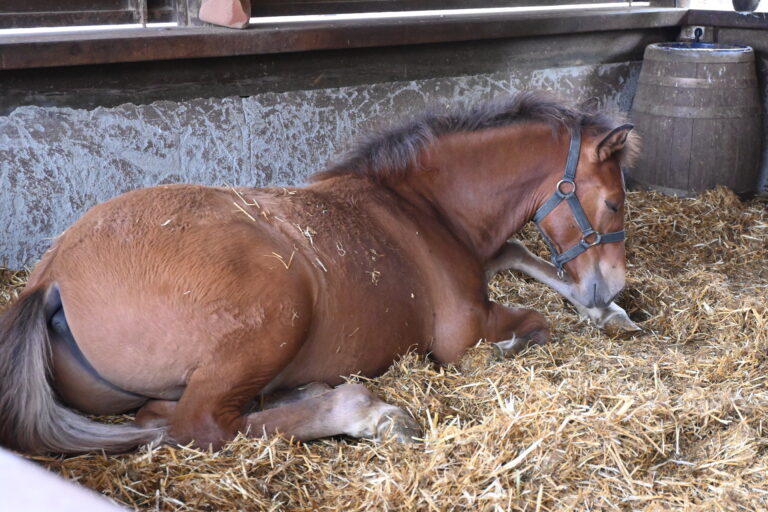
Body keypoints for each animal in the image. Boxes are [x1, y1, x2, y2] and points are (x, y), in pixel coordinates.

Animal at [0, 93, 639, 454]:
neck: (423, 207)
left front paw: (610, 313)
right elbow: (532, 326)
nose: (611, 285)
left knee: (163, 417)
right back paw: (367, 412)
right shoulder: (462, 331)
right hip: (278, 311)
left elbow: (517, 254)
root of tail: (51, 276)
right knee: (199, 424)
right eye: (612, 203)